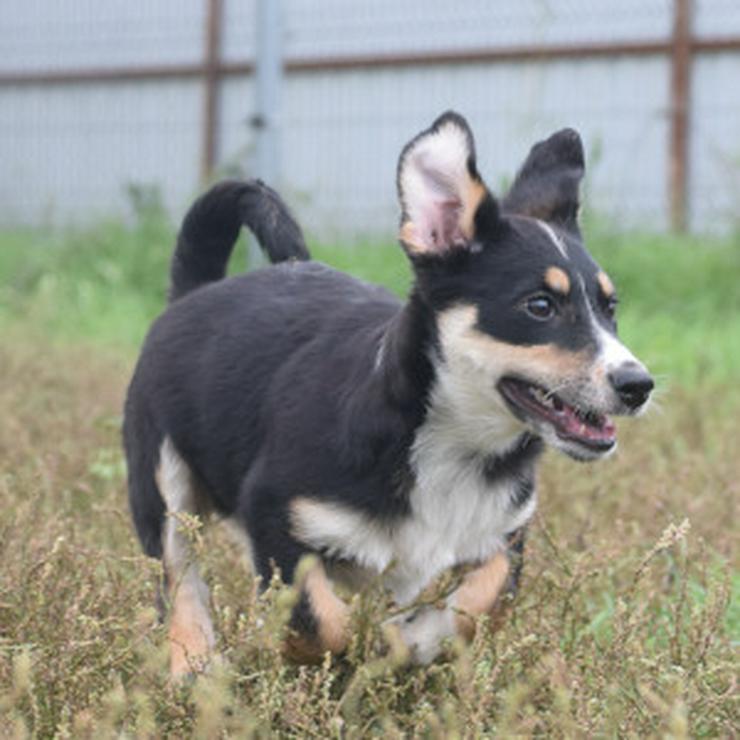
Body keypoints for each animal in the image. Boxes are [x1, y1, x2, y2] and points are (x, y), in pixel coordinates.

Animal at [123, 111, 652, 676]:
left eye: (610, 307)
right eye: (539, 306)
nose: (639, 385)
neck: (450, 447)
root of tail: (195, 291)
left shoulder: (504, 534)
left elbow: (479, 604)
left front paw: (408, 641)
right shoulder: (273, 515)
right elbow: (319, 622)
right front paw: (337, 653)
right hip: (163, 485)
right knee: (180, 577)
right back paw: (194, 667)